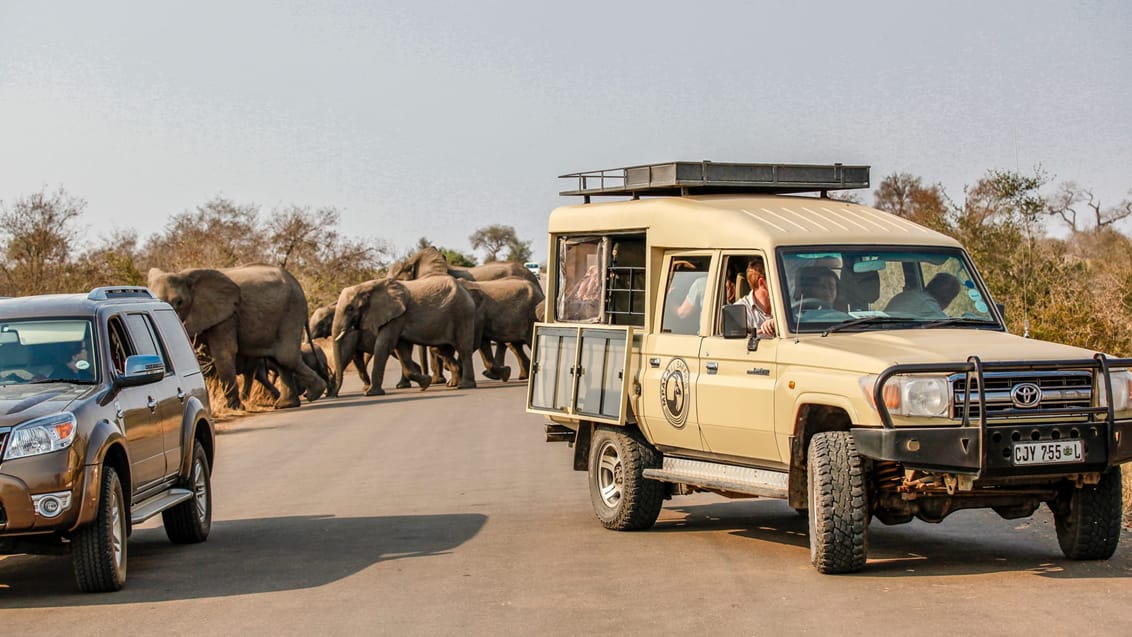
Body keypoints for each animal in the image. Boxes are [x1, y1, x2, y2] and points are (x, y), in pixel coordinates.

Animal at [144, 262, 323, 409]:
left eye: (180, 302)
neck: (185, 275)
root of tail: (296, 282)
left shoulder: (227, 316)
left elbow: (223, 353)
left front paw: (233, 408)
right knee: (279, 360)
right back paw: (286, 404)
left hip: (292, 311)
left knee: (285, 357)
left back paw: (313, 394)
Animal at [332, 277, 479, 396]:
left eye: (350, 308)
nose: (335, 394)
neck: (366, 286)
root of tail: (465, 290)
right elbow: (400, 348)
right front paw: (425, 383)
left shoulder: (397, 316)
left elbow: (384, 344)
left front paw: (371, 393)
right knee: (441, 349)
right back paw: (454, 382)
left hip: (462, 314)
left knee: (464, 349)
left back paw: (465, 386)